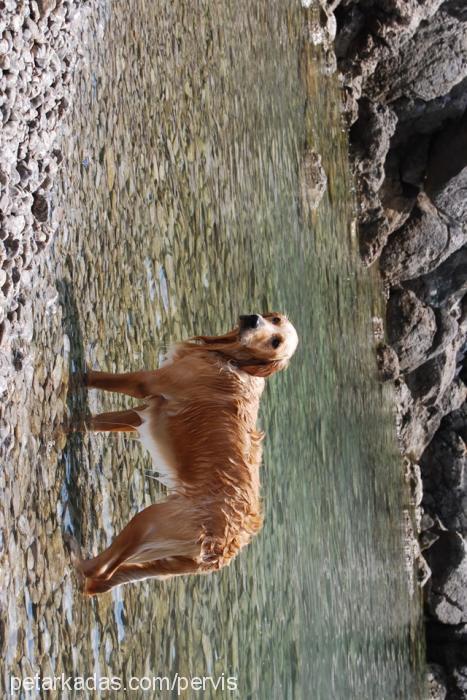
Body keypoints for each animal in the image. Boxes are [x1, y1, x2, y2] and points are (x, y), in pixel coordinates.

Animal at [72, 314, 300, 592]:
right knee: (103, 579)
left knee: (100, 570)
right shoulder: (144, 411)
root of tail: (226, 549)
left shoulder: (145, 382)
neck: (233, 362)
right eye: (274, 319)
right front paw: (65, 426)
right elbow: (95, 422)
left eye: (275, 342)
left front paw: (78, 377)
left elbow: (99, 378)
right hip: (162, 558)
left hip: (151, 521)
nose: (253, 320)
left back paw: (74, 556)